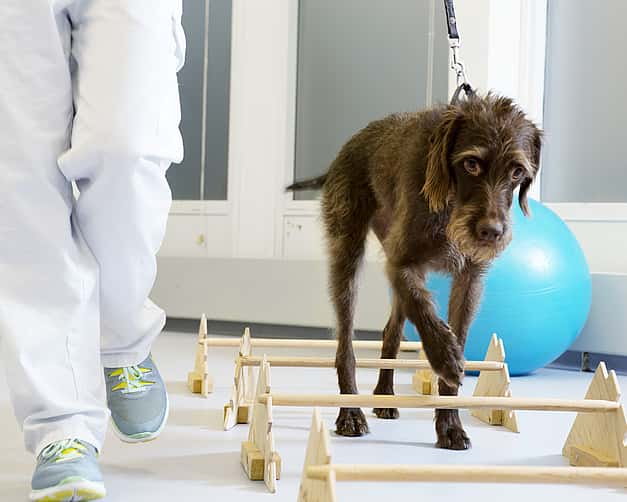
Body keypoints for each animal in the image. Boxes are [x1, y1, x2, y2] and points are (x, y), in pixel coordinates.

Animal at [288, 92, 544, 450]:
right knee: (345, 346)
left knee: (391, 331)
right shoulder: (401, 263)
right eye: (471, 164)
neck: (449, 203)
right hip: (347, 257)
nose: (491, 232)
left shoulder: (469, 279)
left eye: (517, 171)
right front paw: (444, 357)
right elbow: (424, 310)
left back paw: (384, 394)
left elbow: (453, 332)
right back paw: (351, 411)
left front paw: (450, 424)